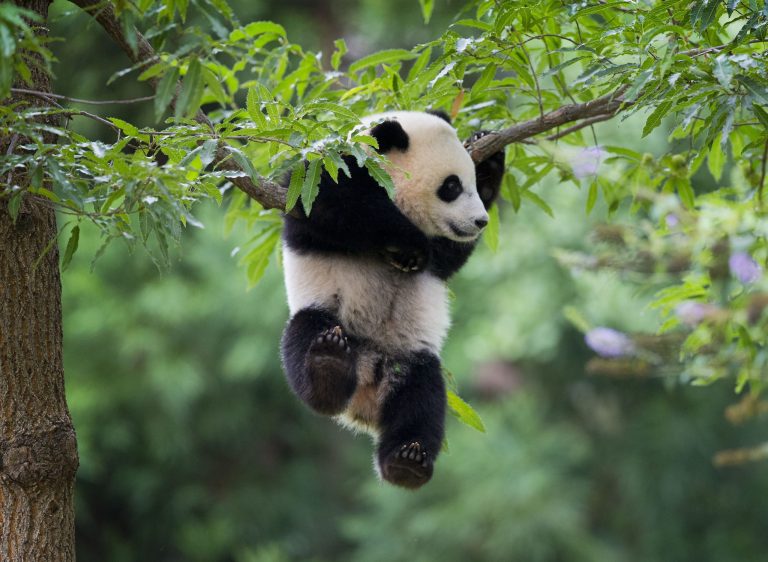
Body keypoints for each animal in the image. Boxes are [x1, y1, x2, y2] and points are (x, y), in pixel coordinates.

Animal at [280, 110, 505, 489]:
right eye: (451, 187)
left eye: (472, 183)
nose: (479, 221)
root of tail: (364, 395)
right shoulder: (325, 169)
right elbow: (332, 203)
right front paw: (411, 245)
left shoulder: (444, 253)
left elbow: (447, 257)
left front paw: (488, 153)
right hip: (323, 313)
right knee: (304, 335)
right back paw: (328, 368)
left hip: (409, 357)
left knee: (422, 400)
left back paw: (407, 461)